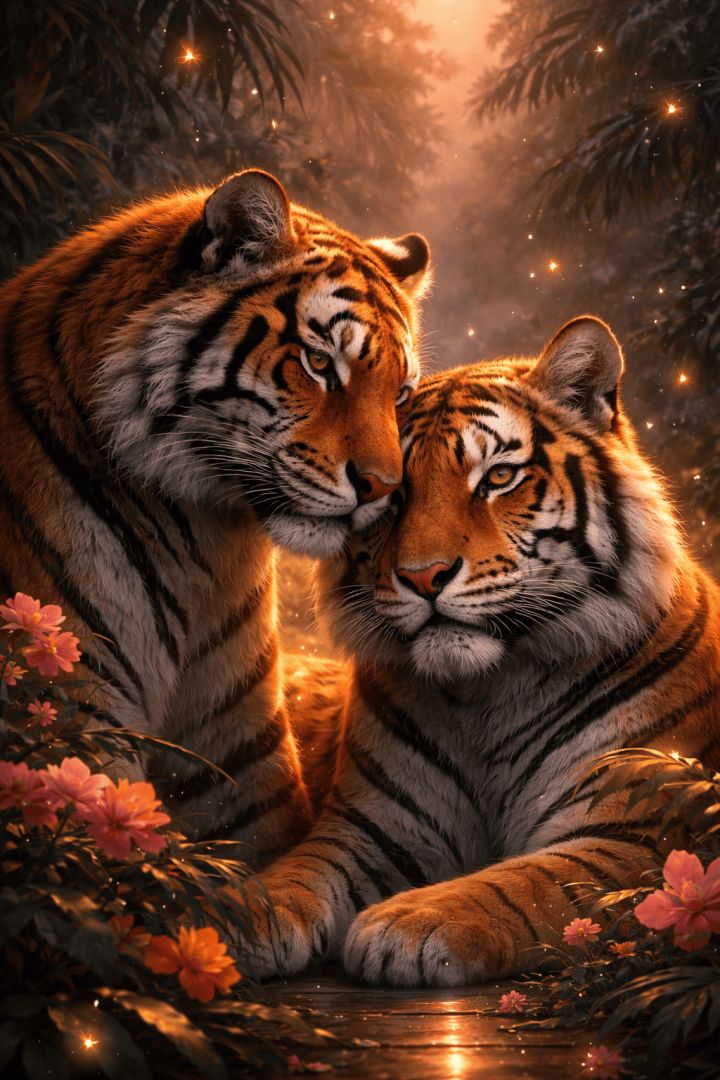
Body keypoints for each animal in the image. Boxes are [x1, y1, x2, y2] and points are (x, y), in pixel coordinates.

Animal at [0, 167, 430, 864]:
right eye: (319, 363)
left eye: (400, 394)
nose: (384, 490)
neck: (200, 535)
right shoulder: (70, 702)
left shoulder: (238, 755)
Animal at [239, 314, 720, 983]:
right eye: (391, 492)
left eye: (497, 477)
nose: (424, 576)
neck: (488, 692)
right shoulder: (368, 830)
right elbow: (297, 872)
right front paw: (234, 911)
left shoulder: (637, 832)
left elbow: (528, 882)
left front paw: (411, 922)